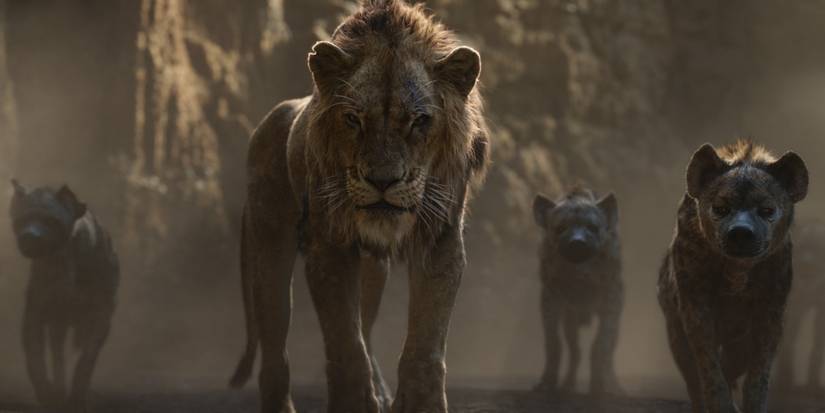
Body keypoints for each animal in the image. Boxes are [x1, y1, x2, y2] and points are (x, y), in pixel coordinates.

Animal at [228, 1, 489, 412]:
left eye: (419, 120)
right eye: (353, 119)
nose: (383, 181)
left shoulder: (440, 239)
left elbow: (425, 343)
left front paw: (420, 403)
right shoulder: (329, 246)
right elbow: (345, 343)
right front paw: (354, 402)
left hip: (372, 270)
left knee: (364, 326)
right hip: (269, 248)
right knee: (274, 350)